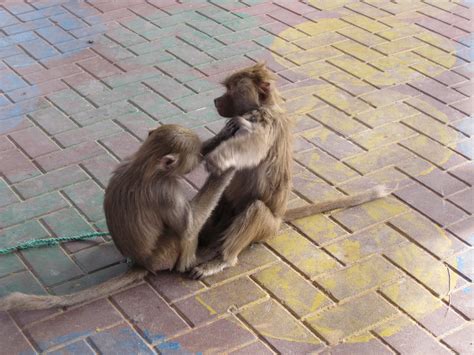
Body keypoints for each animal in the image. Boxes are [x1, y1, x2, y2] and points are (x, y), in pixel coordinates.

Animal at [0, 125, 237, 312]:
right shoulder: (166, 190)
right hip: (167, 253)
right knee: (182, 234)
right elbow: (188, 226)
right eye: (195, 157)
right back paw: (193, 261)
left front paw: (224, 136)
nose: (201, 157)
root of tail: (143, 263)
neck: (146, 164)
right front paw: (226, 170)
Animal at [191, 64, 386, 280]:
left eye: (232, 89)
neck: (264, 106)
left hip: (267, 227)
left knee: (256, 209)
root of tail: (280, 218)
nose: (216, 101)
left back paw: (222, 260)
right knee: (224, 199)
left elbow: (255, 144)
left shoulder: (265, 121)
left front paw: (218, 159)